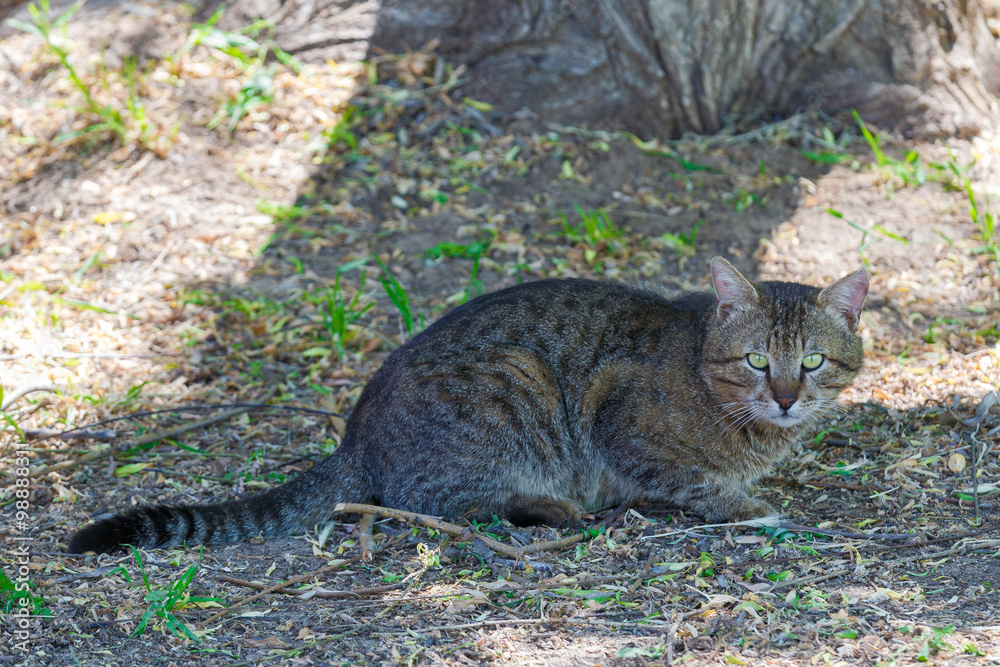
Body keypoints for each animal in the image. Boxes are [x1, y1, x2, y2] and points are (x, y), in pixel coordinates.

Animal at [70, 258, 868, 556]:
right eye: (758, 361)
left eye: (814, 362)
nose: (787, 398)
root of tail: (355, 431)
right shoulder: (619, 419)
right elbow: (692, 480)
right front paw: (748, 506)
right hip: (513, 384)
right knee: (441, 502)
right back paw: (550, 507)